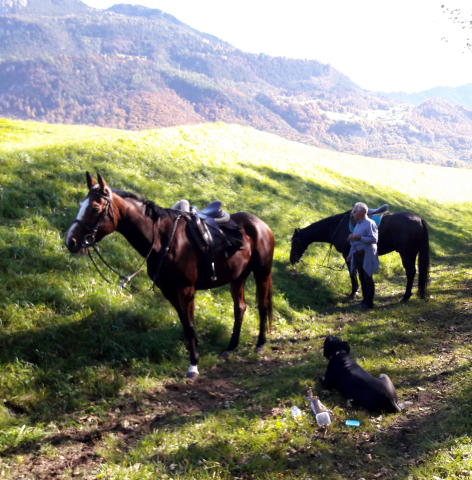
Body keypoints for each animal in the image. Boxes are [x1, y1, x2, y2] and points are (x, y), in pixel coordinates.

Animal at [64, 172, 274, 378]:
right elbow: (186, 323)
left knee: (262, 306)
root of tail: (261, 224)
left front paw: (193, 366)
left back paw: (259, 345)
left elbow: (189, 326)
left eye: (95, 208)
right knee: (240, 308)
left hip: (262, 273)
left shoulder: (186, 290)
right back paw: (230, 348)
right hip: (237, 277)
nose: (70, 241)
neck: (163, 240)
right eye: (81, 205)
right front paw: (194, 355)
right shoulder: (169, 291)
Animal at [290, 212, 430, 302]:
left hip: (406, 254)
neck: (337, 226)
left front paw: (353, 293)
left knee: (411, 272)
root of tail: (419, 219)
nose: (292, 259)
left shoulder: (347, 254)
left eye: (295, 241)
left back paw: (406, 296)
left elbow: (352, 273)